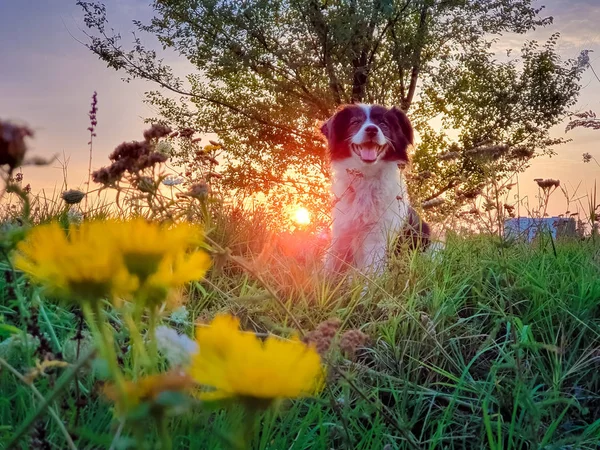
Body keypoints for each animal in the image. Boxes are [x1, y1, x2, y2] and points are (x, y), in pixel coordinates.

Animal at [318, 104, 432, 274]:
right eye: (355, 122)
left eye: (383, 124)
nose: (372, 129)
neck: (367, 177)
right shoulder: (341, 235)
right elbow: (330, 268)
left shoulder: (378, 240)